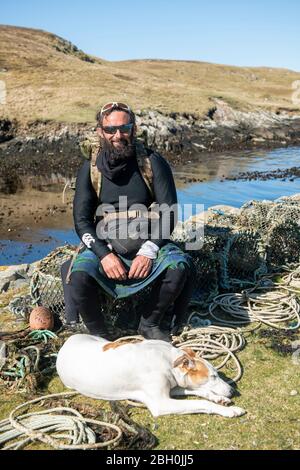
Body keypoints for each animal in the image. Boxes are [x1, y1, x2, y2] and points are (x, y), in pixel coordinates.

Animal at [56, 334, 246, 418]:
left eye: (217, 374)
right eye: (213, 376)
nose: (233, 391)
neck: (169, 361)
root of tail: (65, 343)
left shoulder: (173, 386)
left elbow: (200, 392)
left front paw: (220, 399)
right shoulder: (161, 403)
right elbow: (200, 402)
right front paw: (229, 410)